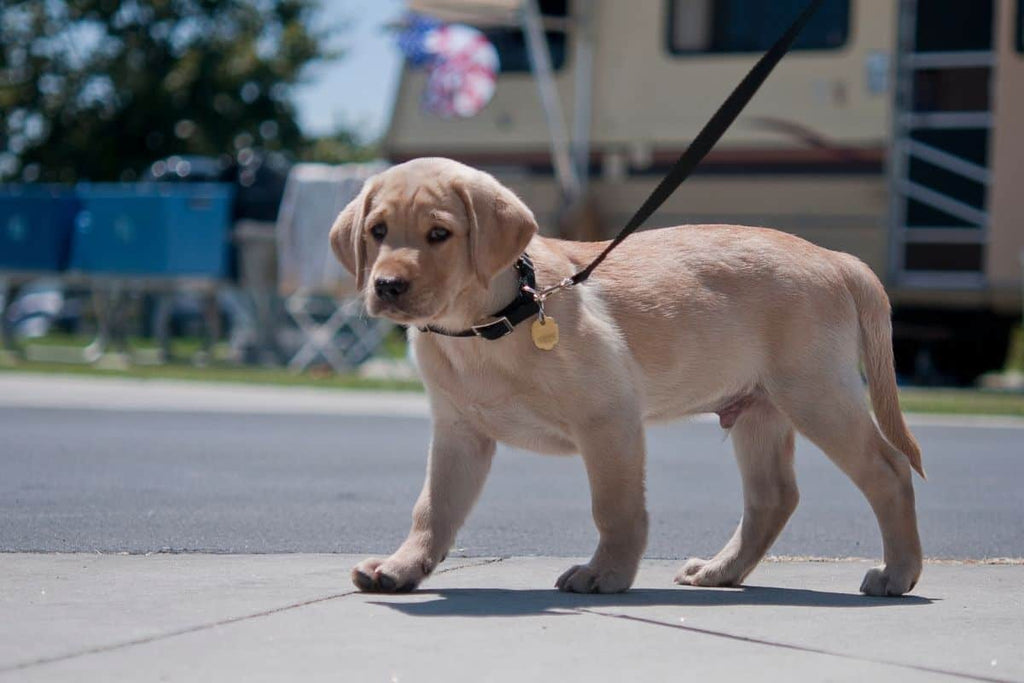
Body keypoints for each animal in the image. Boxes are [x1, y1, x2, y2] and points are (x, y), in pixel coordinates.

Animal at [331, 157, 925, 593]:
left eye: (439, 233)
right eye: (378, 231)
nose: (386, 286)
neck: (487, 324)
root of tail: (836, 258)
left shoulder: (608, 418)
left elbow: (614, 507)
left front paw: (605, 574)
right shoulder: (459, 431)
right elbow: (433, 508)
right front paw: (402, 567)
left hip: (816, 394)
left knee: (888, 471)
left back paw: (898, 573)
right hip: (760, 408)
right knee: (774, 497)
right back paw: (720, 571)